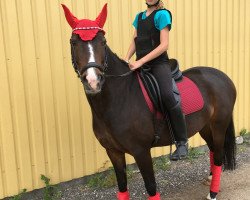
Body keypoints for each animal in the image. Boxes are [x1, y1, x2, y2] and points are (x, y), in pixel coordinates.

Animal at [62, 3, 236, 200]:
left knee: (219, 155)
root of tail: (223, 76)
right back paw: (211, 178)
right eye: (73, 42)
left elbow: (151, 187)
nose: (93, 81)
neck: (118, 99)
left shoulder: (141, 151)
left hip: (219, 125)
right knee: (213, 151)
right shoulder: (113, 151)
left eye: (103, 42)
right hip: (205, 126)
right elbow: (122, 186)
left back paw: (212, 192)